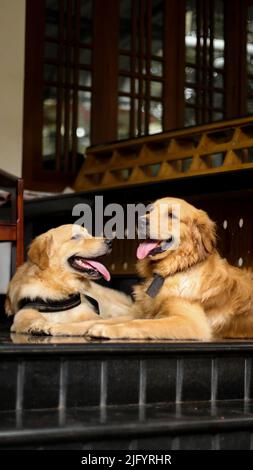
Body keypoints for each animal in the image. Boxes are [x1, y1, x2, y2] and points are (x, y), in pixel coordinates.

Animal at [87, 196, 253, 340]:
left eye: (171, 215)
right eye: (150, 210)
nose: (140, 220)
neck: (174, 270)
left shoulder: (191, 322)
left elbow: (140, 323)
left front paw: (105, 329)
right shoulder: (141, 311)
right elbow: (106, 319)